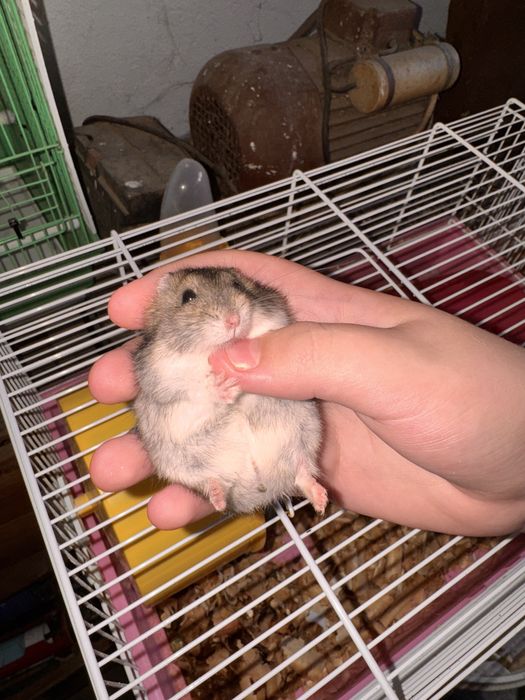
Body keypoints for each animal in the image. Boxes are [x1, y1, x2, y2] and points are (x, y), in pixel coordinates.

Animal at [133, 266, 328, 515]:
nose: (233, 320)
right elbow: (194, 385)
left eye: (237, 285)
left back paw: (321, 500)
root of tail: (263, 490)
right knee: (212, 484)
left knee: (302, 472)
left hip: (307, 434)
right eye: (187, 297)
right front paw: (226, 387)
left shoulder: (277, 318)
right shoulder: (161, 375)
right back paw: (218, 496)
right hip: (178, 465)